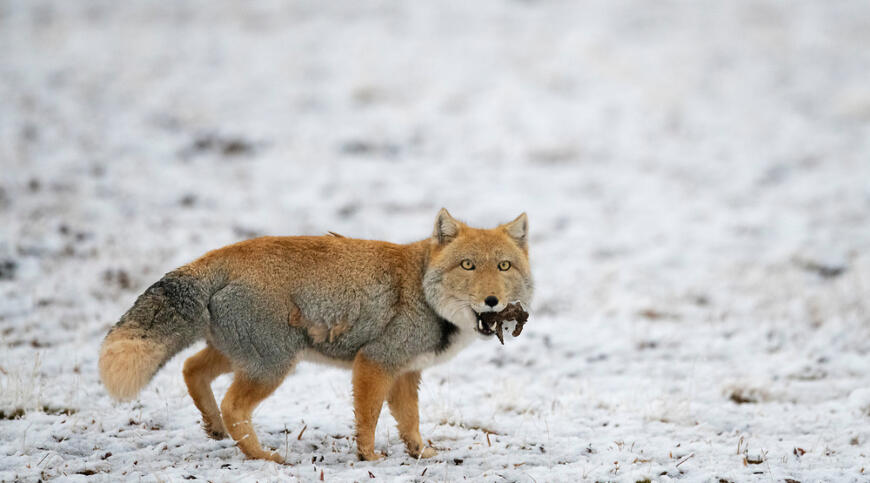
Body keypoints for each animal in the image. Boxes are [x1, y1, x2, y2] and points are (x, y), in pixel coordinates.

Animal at [95, 210, 532, 464]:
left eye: (503, 266)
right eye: (468, 265)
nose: (492, 301)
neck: (424, 291)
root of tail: (222, 254)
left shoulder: (405, 373)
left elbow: (410, 421)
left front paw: (420, 452)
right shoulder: (375, 363)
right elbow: (368, 419)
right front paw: (369, 458)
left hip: (239, 356)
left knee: (191, 369)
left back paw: (216, 429)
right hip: (272, 366)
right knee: (233, 405)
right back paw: (264, 457)